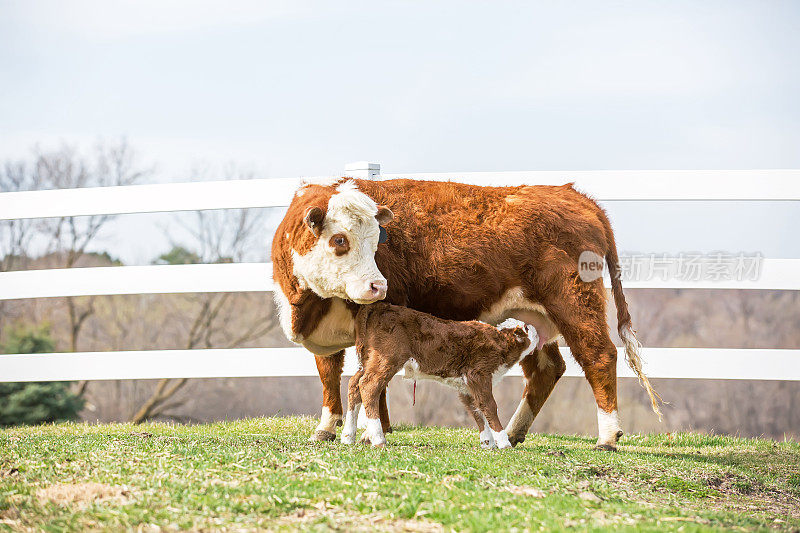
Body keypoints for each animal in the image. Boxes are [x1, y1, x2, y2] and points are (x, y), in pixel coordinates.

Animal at [340, 302, 536, 446]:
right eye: (526, 328)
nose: (535, 328)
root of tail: (378, 306)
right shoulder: (478, 374)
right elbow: (489, 406)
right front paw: (503, 443)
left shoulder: (466, 385)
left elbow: (477, 409)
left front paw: (487, 443)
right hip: (387, 359)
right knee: (369, 386)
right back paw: (378, 439)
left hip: (368, 360)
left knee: (354, 385)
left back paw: (348, 436)